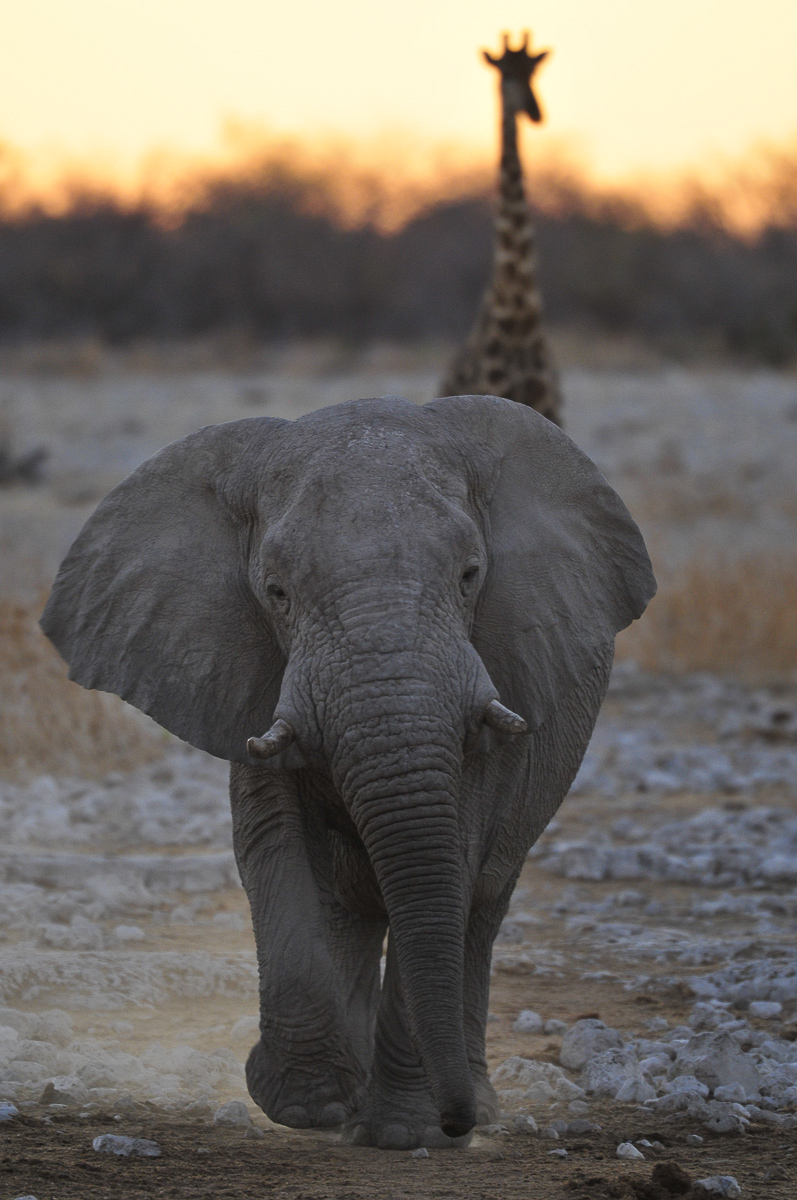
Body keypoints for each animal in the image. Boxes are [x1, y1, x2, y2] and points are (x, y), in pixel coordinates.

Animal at [40, 393, 655, 1149]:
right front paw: (306, 1109)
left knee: (479, 904)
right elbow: (273, 848)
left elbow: (451, 861)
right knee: (351, 908)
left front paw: (402, 1134)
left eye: (469, 576)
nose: (453, 1123)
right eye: (275, 592)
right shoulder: (250, 679)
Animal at [439, 32, 563, 425]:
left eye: (534, 72)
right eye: (504, 73)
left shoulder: (548, 405)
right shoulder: (496, 394)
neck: (520, 320)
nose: (536, 112)